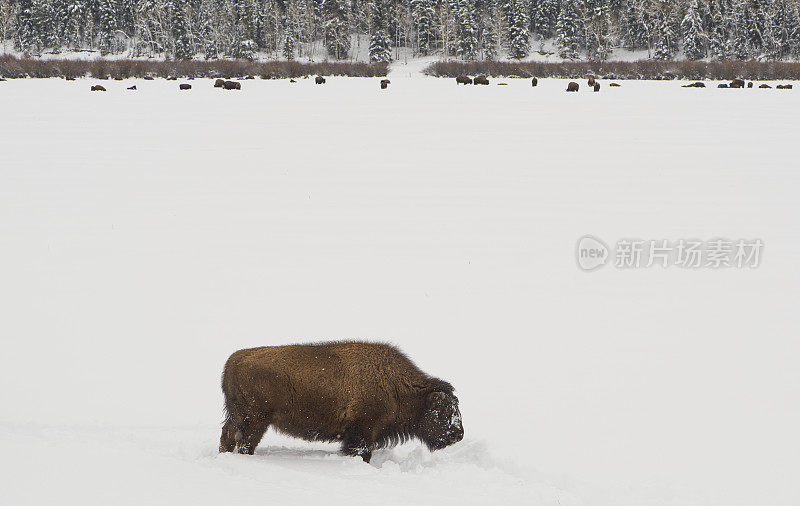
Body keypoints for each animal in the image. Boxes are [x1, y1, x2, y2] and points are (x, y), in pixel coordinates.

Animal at [222, 340, 466, 462]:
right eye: (445, 410)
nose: (458, 434)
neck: (395, 384)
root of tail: (235, 359)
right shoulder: (362, 432)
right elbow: (361, 452)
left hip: (241, 417)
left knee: (228, 436)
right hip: (255, 419)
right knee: (245, 442)